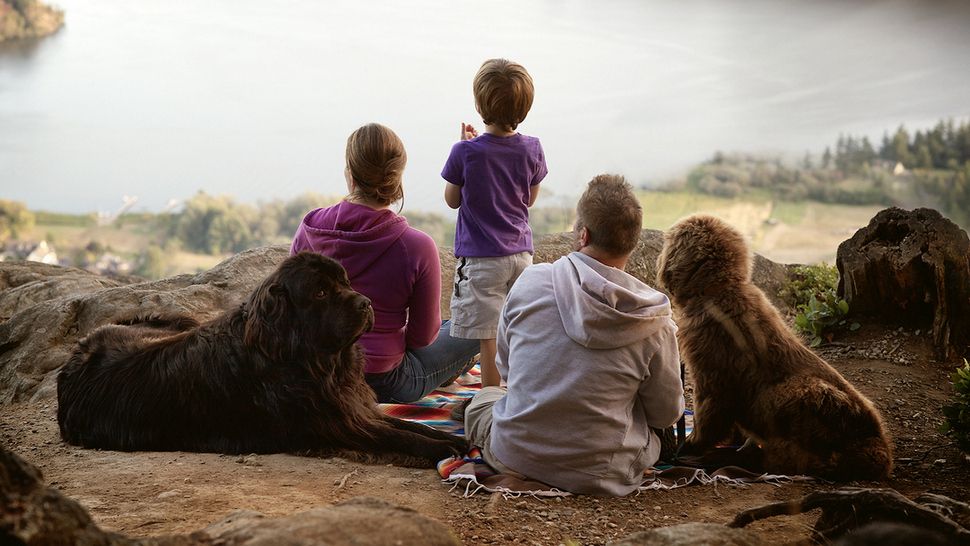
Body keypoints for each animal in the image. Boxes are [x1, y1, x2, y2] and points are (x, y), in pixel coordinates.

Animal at [58, 251, 466, 464]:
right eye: (320, 292)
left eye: (346, 282)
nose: (366, 303)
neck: (307, 360)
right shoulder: (339, 424)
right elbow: (397, 437)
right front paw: (443, 447)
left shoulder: (354, 407)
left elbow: (407, 425)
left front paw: (448, 438)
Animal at [656, 215, 888, 478]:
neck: (718, 291)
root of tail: (879, 452)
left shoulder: (711, 371)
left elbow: (710, 409)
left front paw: (692, 444)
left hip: (793, 395)